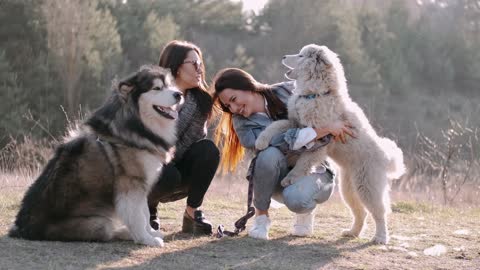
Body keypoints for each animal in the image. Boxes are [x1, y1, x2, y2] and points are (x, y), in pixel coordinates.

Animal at [9, 65, 182, 247]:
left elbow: (145, 212)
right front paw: (146, 238)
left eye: (170, 85)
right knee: (109, 232)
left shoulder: (142, 184)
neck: (136, 124)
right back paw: (126, 232)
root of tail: (23, 229)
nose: (179, 94)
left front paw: (150, 232)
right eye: (157, 88)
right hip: (99, 223)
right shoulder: (131, 184)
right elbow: (139, 216)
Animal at [255, 44, 404, 245]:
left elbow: (304, 162)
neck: (314, 94)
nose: (284, 56)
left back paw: (380, 237)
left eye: (301, 56)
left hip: (367, 186)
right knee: (360, 212)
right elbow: (276, 126)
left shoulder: (320, 140)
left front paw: (290, 179)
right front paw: (261, 140)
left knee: (379, 212)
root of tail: (386, 158)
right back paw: (352, 232)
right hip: (348, 188)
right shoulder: (295, 123)